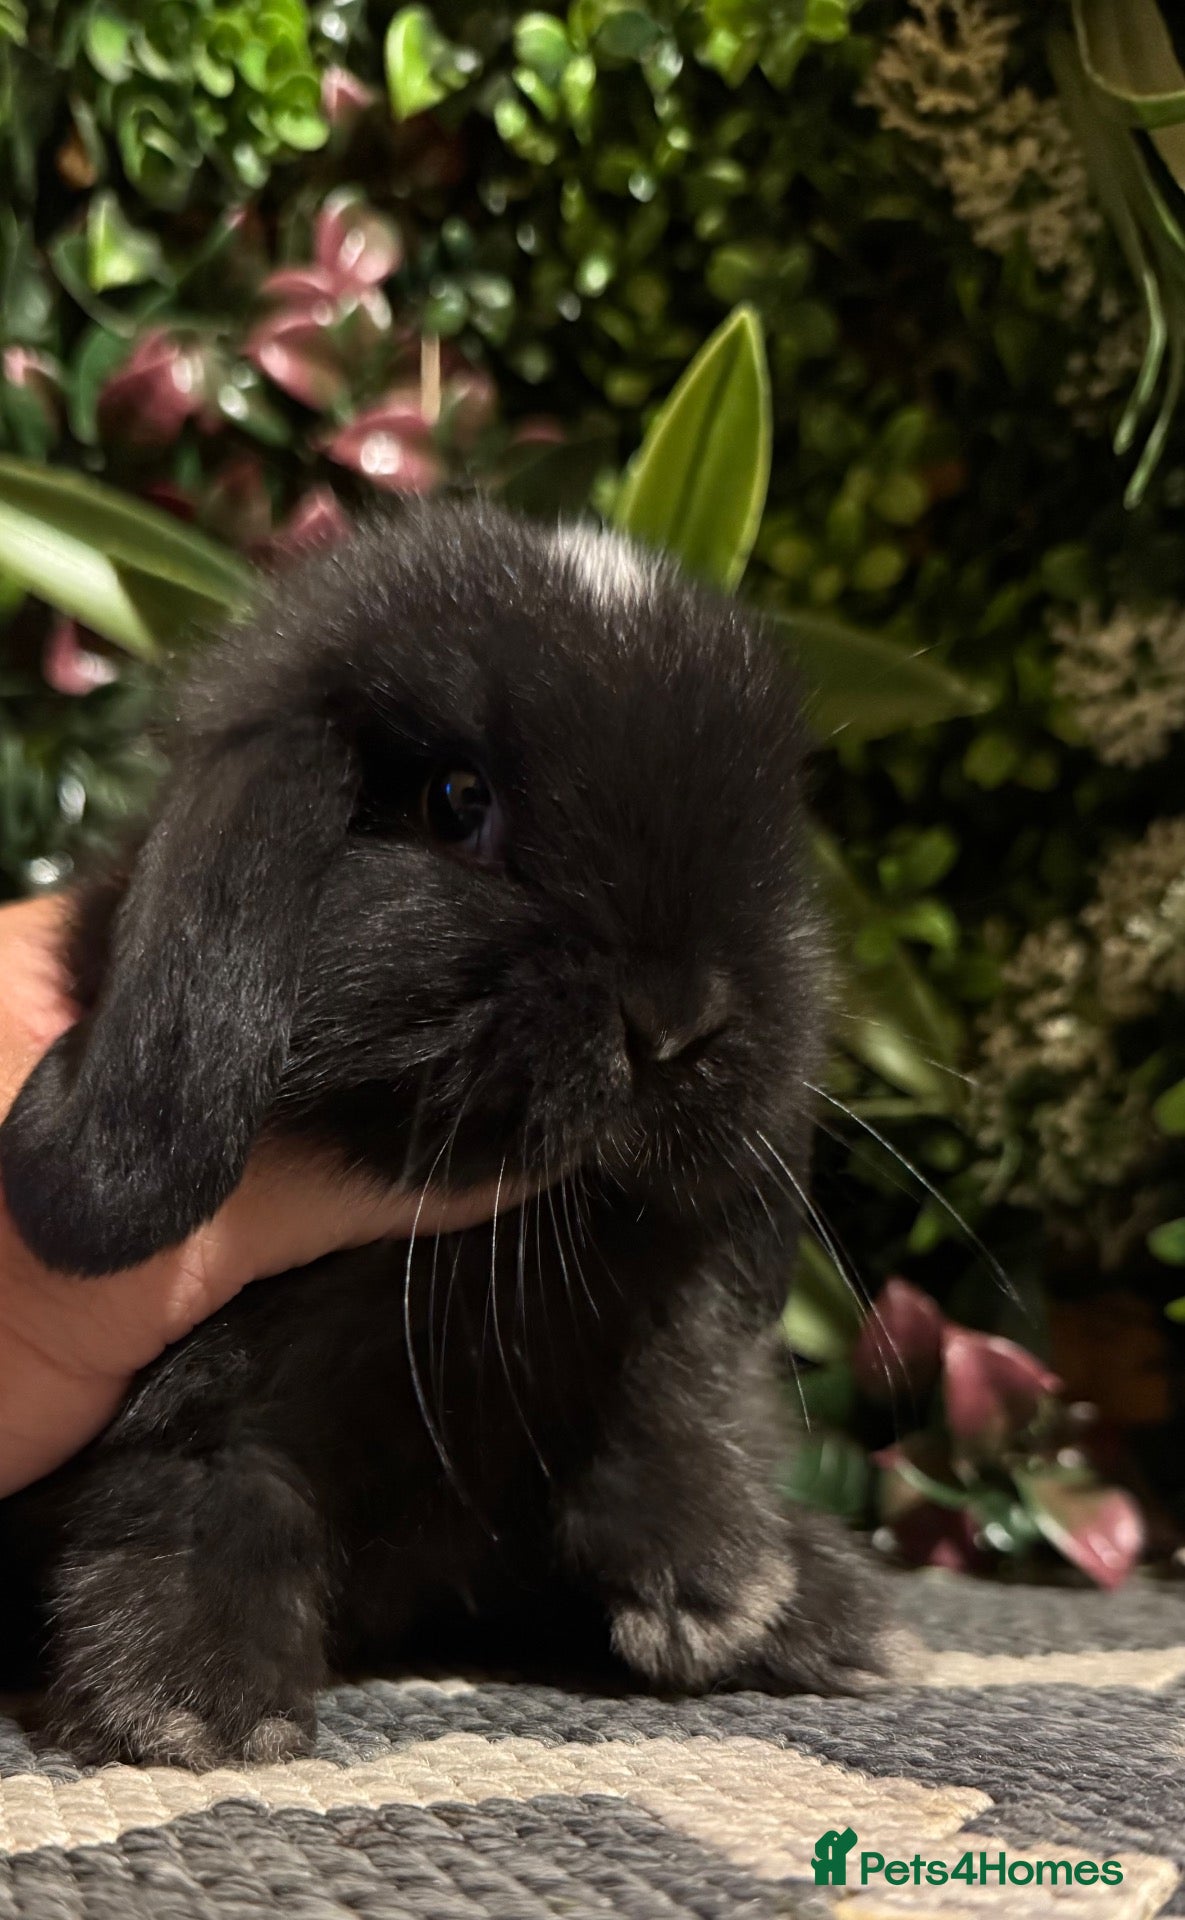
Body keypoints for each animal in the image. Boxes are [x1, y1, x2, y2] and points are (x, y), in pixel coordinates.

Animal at [0, 497, 885, 1768]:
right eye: (457, 803)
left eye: (774, 828)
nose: (676, 1017)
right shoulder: (193, 1391)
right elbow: (199, 1479)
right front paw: (199, 1705)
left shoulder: (673, 1289)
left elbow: (676, 1390)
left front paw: (725, 1587)